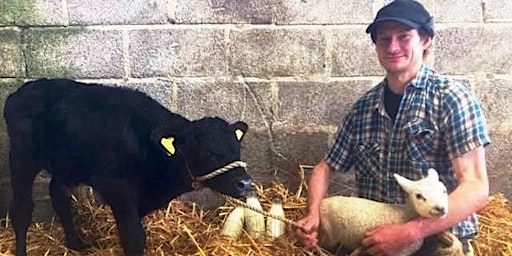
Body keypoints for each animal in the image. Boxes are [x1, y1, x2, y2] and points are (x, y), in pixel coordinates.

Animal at [320, 169, 448, 255]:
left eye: (444, 191)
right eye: (418, 196)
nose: (440, 208)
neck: (406, 215)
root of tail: (321, 203)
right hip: (326, 235)